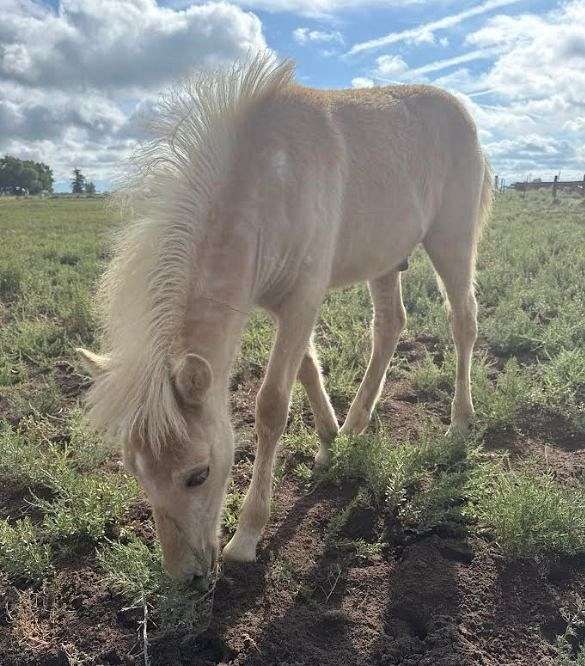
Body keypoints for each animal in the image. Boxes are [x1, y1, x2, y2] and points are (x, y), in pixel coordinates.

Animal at [76, 54, 492, 585]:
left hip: (451, 242)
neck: (266, 186)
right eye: (135, 472)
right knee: (389, 326)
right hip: (385, 259)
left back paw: (460, 422)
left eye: (198, 474)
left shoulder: (303, 300)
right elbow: (308, 368)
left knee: (463, 321)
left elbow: (272, 403)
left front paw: (247, 535)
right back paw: (357, 424)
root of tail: (461, 111)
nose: (185, 578)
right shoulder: (287, 306)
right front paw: (332, 443)